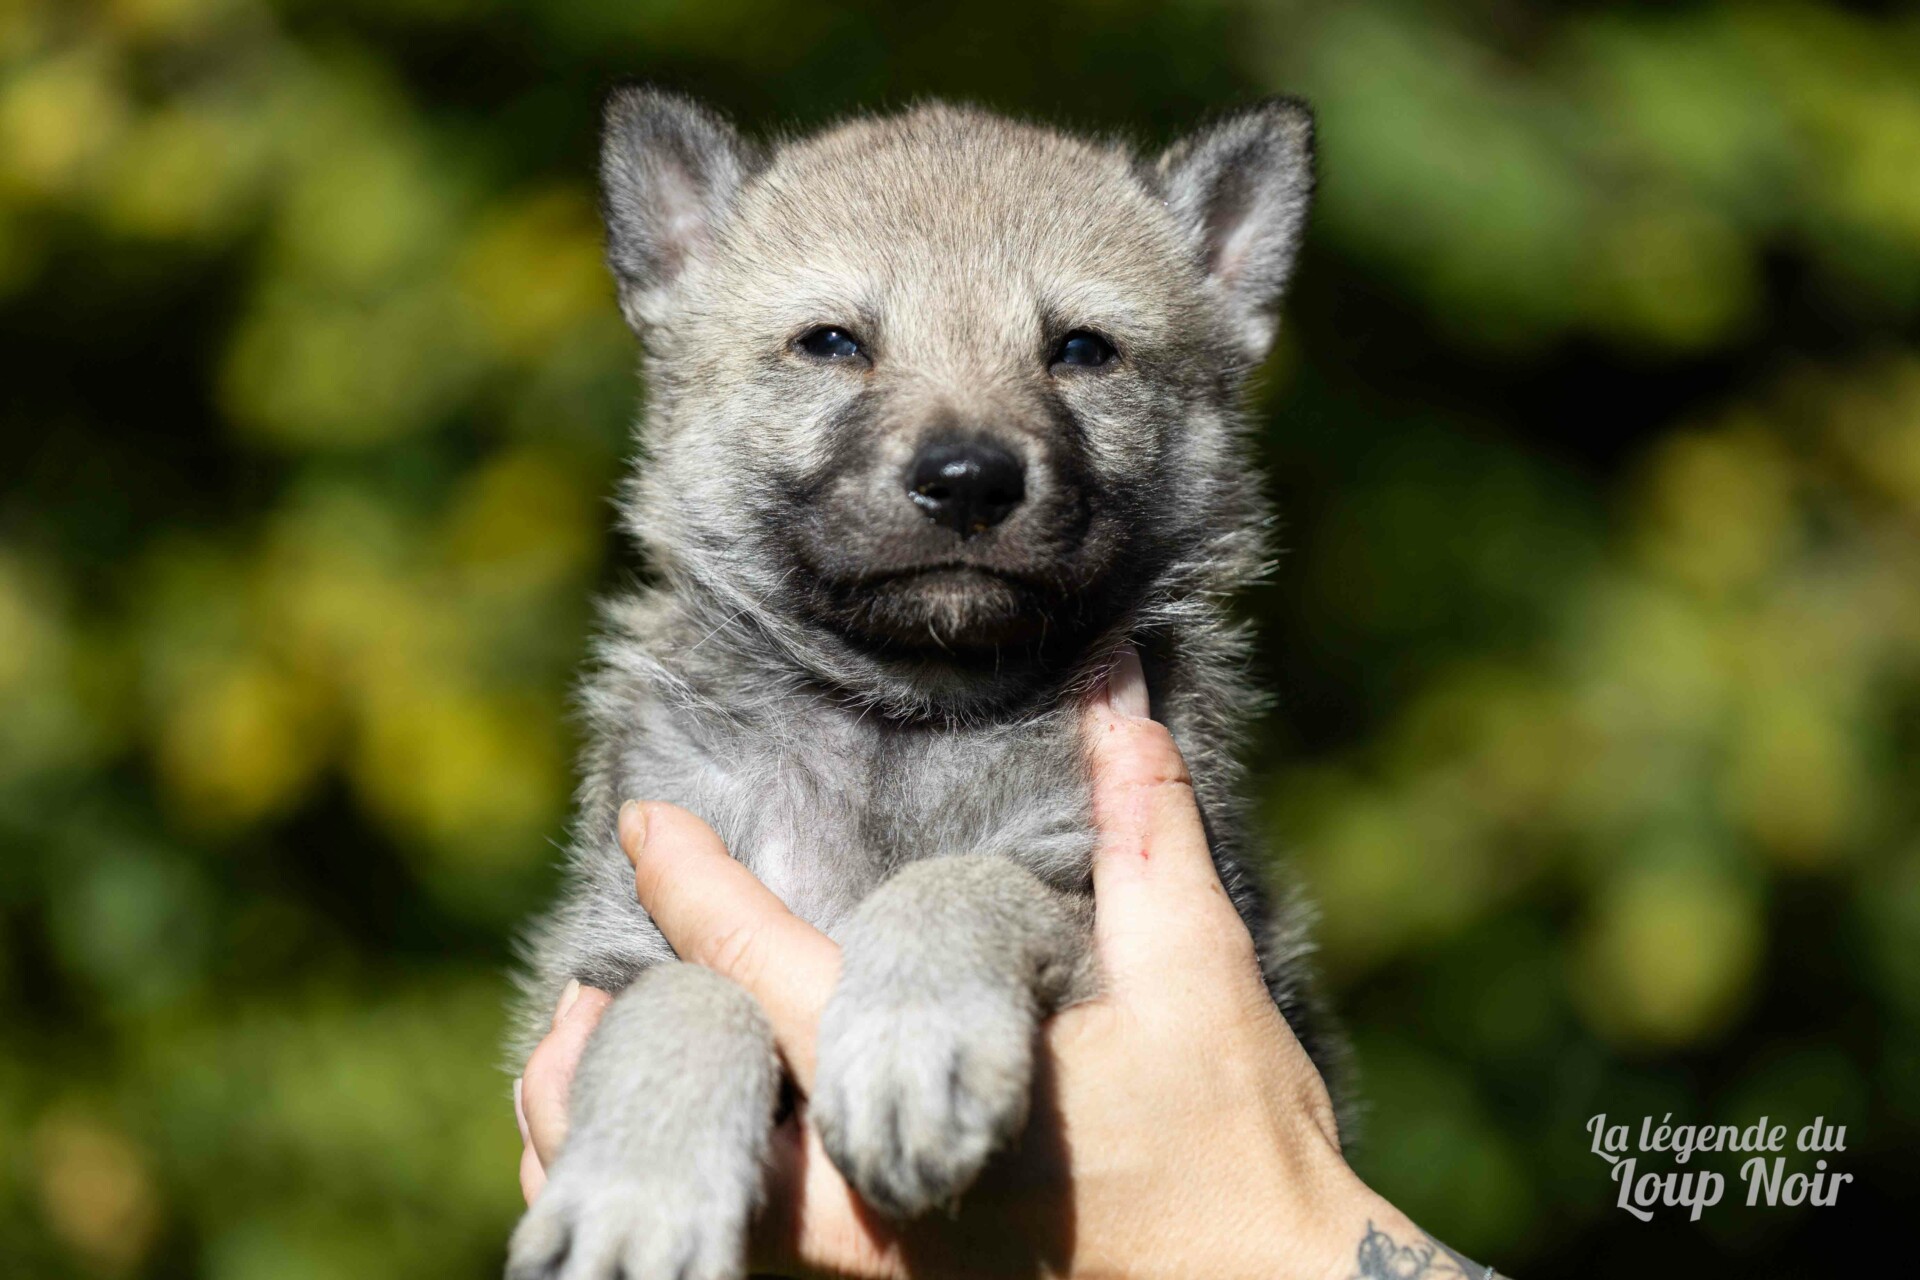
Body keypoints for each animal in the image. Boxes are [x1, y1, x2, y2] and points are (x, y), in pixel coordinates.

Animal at [506, 89, 1344, 1280]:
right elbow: (685, 989)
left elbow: (963, 877)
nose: (969, 480)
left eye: (1081, 348)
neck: (907, 713)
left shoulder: (1108, 913)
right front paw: (639, 1191)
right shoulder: (608, 952)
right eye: (832, 342)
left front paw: (913, 1043)